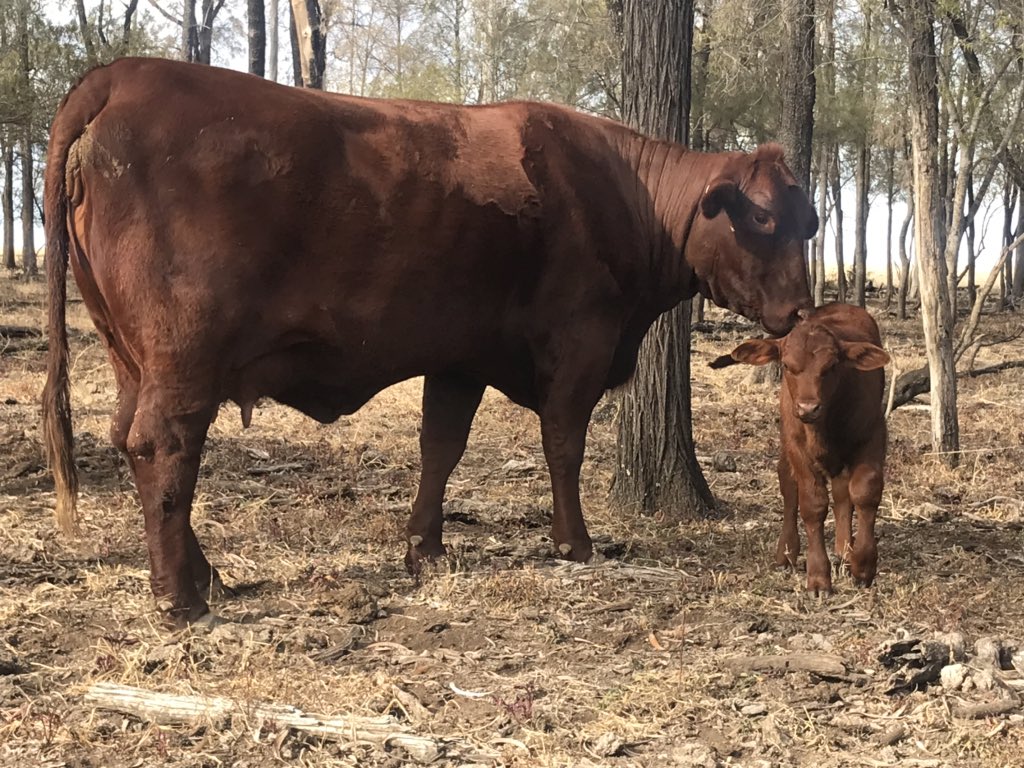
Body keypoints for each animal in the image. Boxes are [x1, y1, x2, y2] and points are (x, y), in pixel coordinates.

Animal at [43, 58, 817, 627]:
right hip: (184, 355)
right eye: (762, 219)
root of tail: (121, 73)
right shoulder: (580, 343)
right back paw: (181, 596)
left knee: (130, 438)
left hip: (130, 356)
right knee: (164, 445)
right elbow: (563, 444)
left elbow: (440, 447)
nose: (800, 309)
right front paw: (576, 542)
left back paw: (206, 576)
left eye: (808, 222)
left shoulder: (460, 356)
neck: (625, 191)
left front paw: (427, 550)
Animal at [710, 303, 889, 595]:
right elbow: (812, 504)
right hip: (787, 443)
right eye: (786, 365)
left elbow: (864, 492)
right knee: (788, 485)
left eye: (832, 366)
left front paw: (862, 565)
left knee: (842, 492)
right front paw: (818, 577)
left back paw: (843, 549)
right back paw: (787, 552)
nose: (808, 407)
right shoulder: (797, 447)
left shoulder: (873, 434)